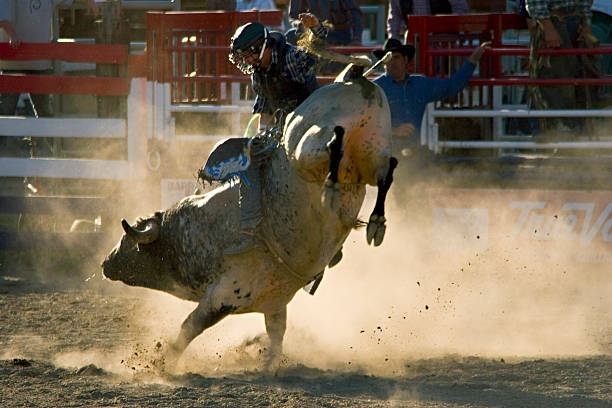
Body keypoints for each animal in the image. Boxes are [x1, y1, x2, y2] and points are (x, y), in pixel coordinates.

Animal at [101, 67, 396, 366]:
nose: (106, 263)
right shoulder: (274, 303)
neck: (201, 232)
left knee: (333, 145)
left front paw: (164, 364)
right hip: (372, 150)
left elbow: (189, 327)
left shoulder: (222, 296)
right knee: (387, 170)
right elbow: (276, 335)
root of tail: (351, 76)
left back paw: (334, 186)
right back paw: (375, 223)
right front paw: (267, 363)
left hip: (306, 148)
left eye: (128, 239)